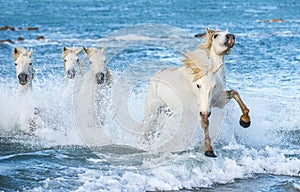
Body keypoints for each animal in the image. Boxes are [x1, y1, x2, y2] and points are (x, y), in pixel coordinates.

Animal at [143, 28, 251, 158]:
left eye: (213, 86)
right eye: (215, 35)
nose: (231, 36)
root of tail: (158, 74)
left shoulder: (217, 101)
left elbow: (235, 93)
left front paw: (245, 121)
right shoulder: (199, 109)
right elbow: (205, 122)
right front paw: (209, 150)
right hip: (153, 111)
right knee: (148, 130)